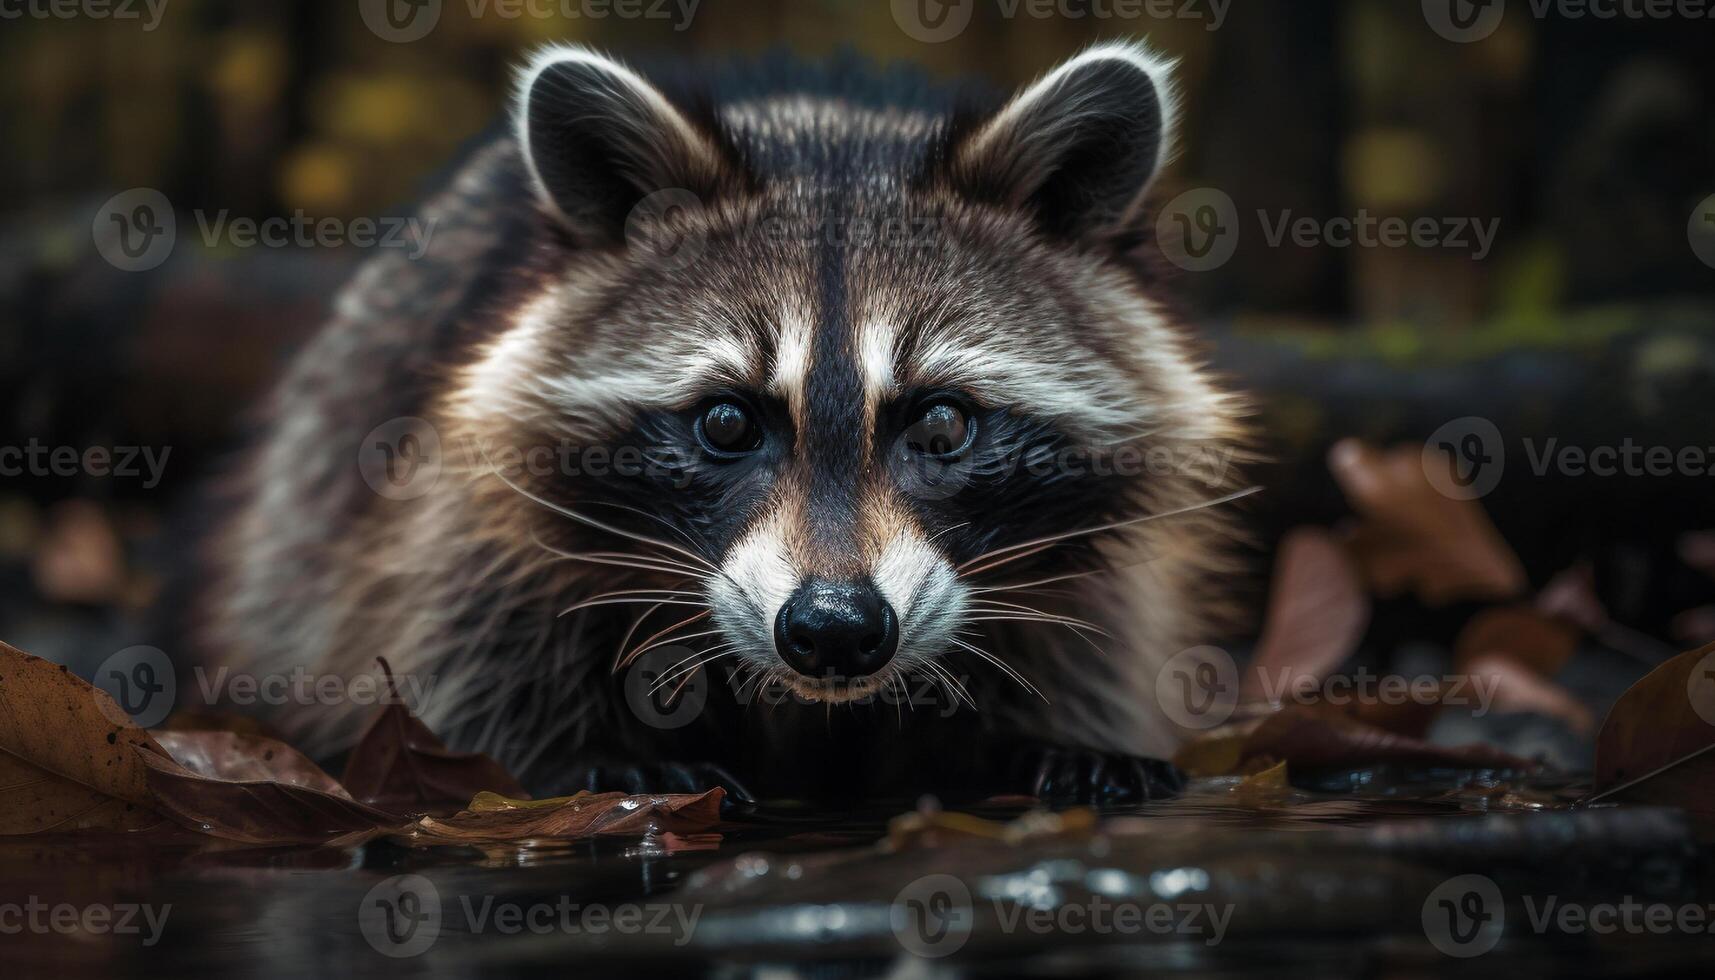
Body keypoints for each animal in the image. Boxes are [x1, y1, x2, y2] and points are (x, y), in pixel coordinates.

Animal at [194, 40, 1248, 806]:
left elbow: (1084, 652)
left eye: (945, 425)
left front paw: (1038, 740)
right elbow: (471, 670)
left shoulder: (1083, 572)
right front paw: (581, 752)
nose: (834, 630)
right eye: (729, 424)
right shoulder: (471, 518)